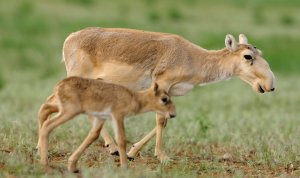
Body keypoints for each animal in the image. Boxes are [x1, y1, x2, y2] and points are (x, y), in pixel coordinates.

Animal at [62, 27, 276, 161]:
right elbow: (160, 119)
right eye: (247, 56)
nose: (270, 85)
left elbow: (165, 119)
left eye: (260, 52)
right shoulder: (162, 84)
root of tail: (69, 39)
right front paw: (162, 156)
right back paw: (113, 147)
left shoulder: (170, 92)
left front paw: (132, 152)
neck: (192, 57)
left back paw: (113, 147)